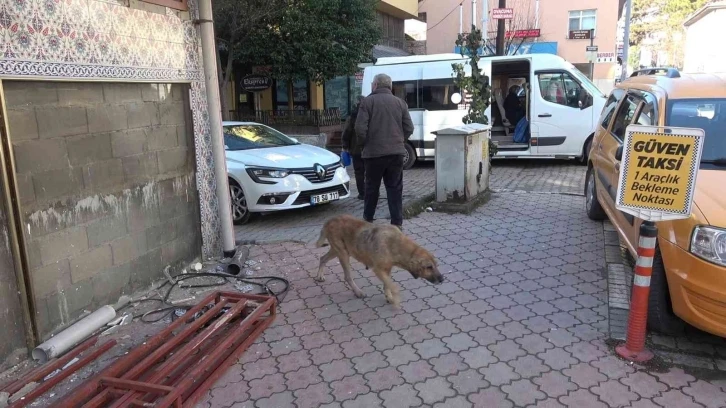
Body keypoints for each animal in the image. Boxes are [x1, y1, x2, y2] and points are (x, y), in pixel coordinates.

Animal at [314, 215, 444, 308]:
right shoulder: (378, 269)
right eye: (429, 267)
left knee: (322, 258)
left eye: (436, 265)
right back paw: (358, 292)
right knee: (347, 277)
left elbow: (387, 284)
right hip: (343, 253)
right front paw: (395, 298)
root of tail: (329, 220)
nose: (442, 279)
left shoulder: (387, 269)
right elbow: (392, 285)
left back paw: (320, 275)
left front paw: (388, 296)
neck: (396, 244)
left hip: (338, 251)